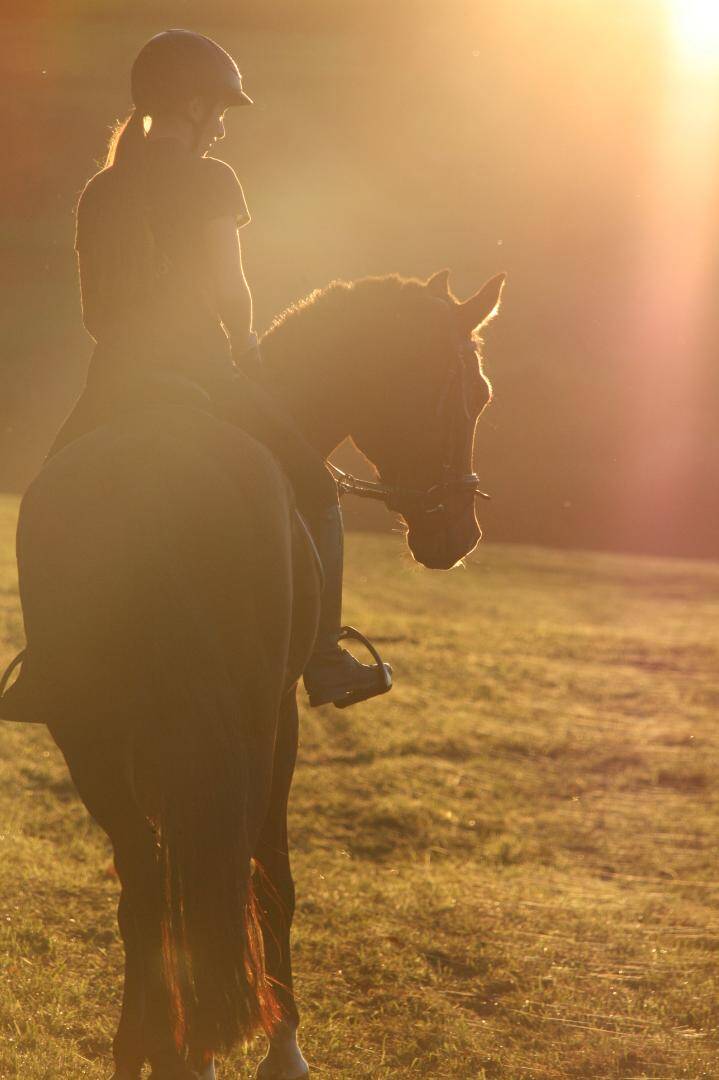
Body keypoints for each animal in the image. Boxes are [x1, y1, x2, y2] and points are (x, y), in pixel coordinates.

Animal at [0, 267, 505, 1080]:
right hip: (244, 720)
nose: (456, 534)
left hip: (93, 731)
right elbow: (272, 880)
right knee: (227, 869)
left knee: (147, 883)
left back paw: (149, 1048)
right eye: (471, 392)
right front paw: (285, 1046)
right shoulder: (282, 714)